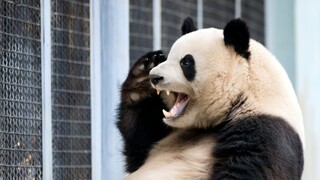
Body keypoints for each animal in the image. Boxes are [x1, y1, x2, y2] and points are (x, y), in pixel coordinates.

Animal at [118, 17, 304, 180]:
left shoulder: (267, 131)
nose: (155, 77)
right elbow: (140, 144)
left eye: (186, 62)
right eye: (169, 57)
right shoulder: (162, 134)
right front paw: (143, 75)